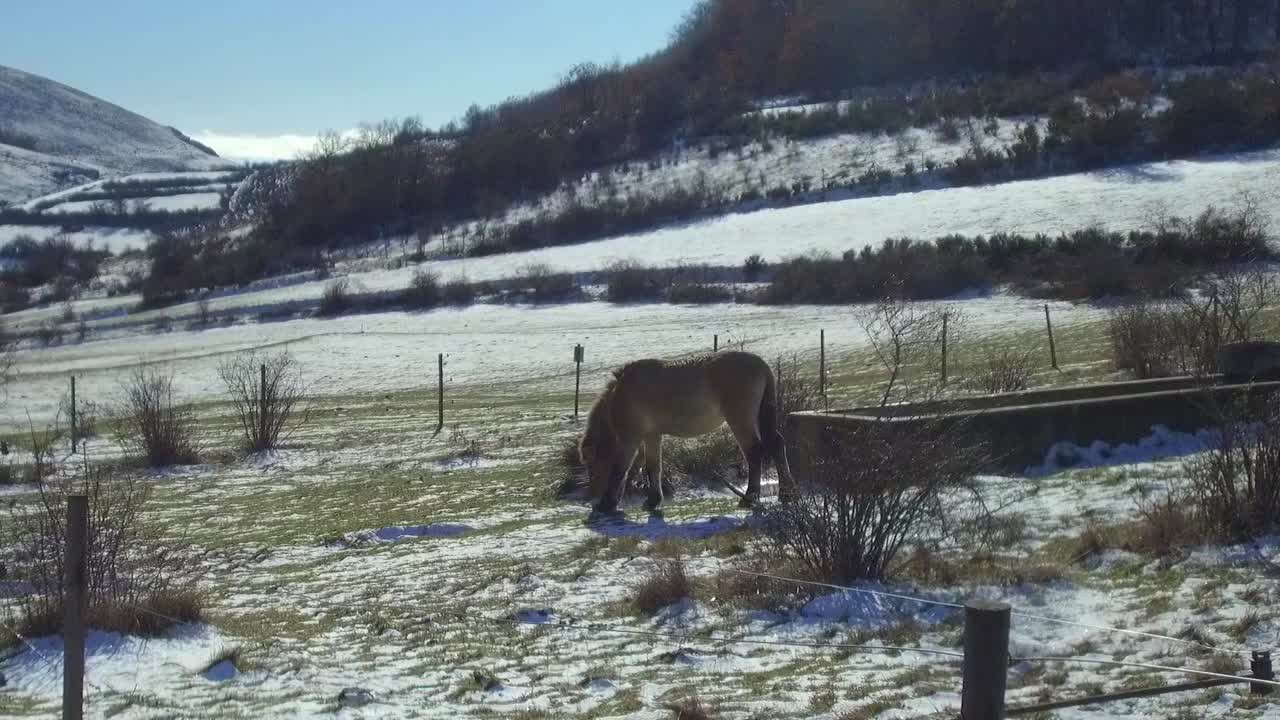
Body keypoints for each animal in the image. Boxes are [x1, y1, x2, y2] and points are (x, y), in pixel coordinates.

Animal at [578, 351, 797, 514]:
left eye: (593, 467)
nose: (593, 500)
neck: (621, 394)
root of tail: (762, 365)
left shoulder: (629, 438)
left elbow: (619, 469)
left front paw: (607, 504)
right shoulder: (651, 435)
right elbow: (652, 467)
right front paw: (652, 501)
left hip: (740, 419)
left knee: (754, 453)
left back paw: (750, 498)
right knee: (776, 444)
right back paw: (787, 493)